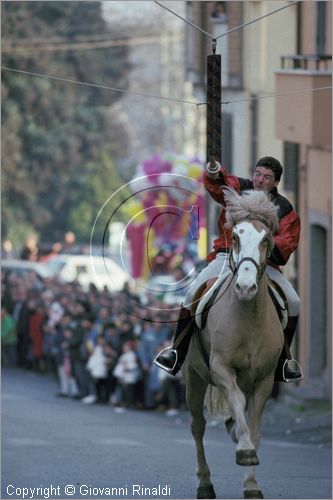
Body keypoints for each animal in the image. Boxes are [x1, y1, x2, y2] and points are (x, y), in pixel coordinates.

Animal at [183, 189, 284, 498]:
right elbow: (237, 403)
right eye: (236, 237)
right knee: (198, 426)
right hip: (194, 378)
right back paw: (204, 483)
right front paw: (245, 451)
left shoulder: (264, 380)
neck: (247, 317)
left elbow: (254, 427)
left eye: (266, 240)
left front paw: (252, 485)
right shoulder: (222, 368)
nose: (245, 287)